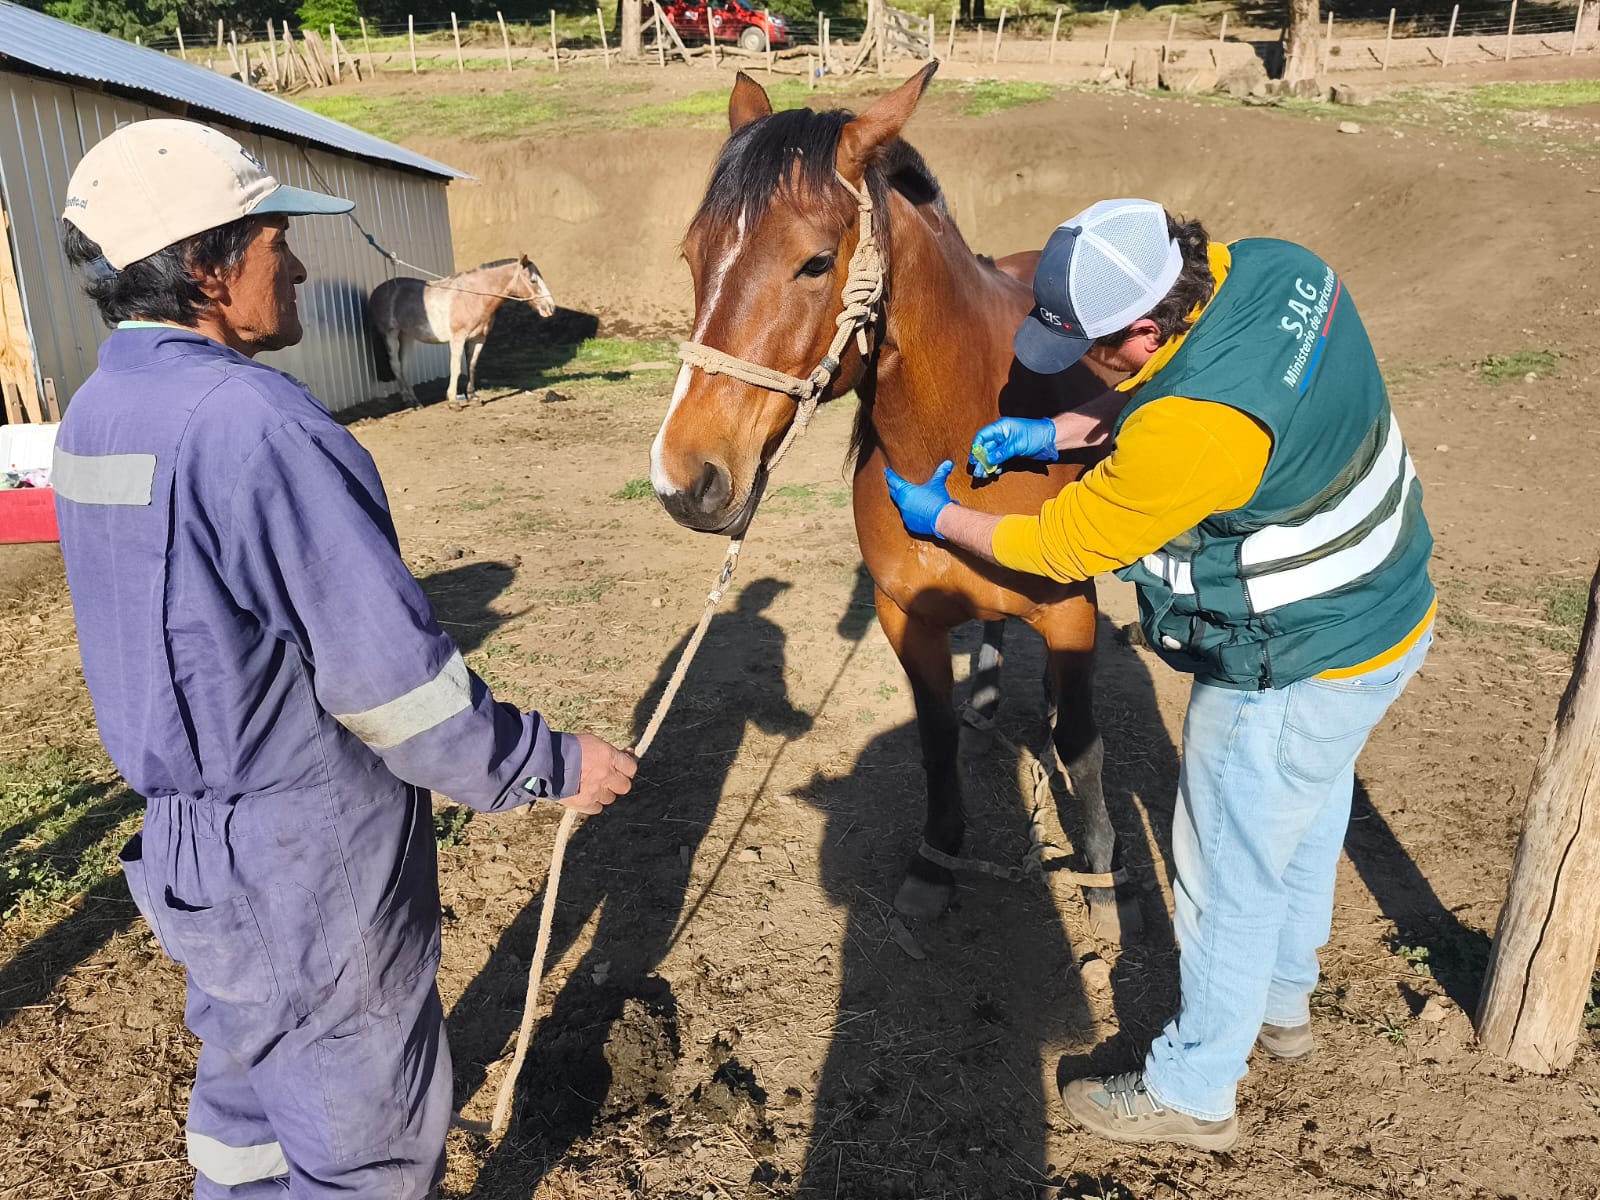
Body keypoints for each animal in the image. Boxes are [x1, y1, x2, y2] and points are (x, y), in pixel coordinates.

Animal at [369, 255, 556, 409]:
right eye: (533, 280)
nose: (550, 308)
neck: (474, 297)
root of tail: (379, 290)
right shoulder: (457, 339)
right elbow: (456, 368)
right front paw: (453, 401)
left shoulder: (479, 339)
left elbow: (472, 366)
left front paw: (472, 397)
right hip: (391, 335)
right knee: (395, 365)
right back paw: (410, 402)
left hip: (406, 335)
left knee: (403, 366)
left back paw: (413, 400)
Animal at [649, 64, 1138, 939]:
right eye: (693, 254)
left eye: (815, 263)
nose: (684, 478)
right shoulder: (906, 612)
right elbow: (935, 740)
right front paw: (935, 860)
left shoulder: (1070, 612)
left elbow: (1083, 745)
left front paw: (1101, 878)